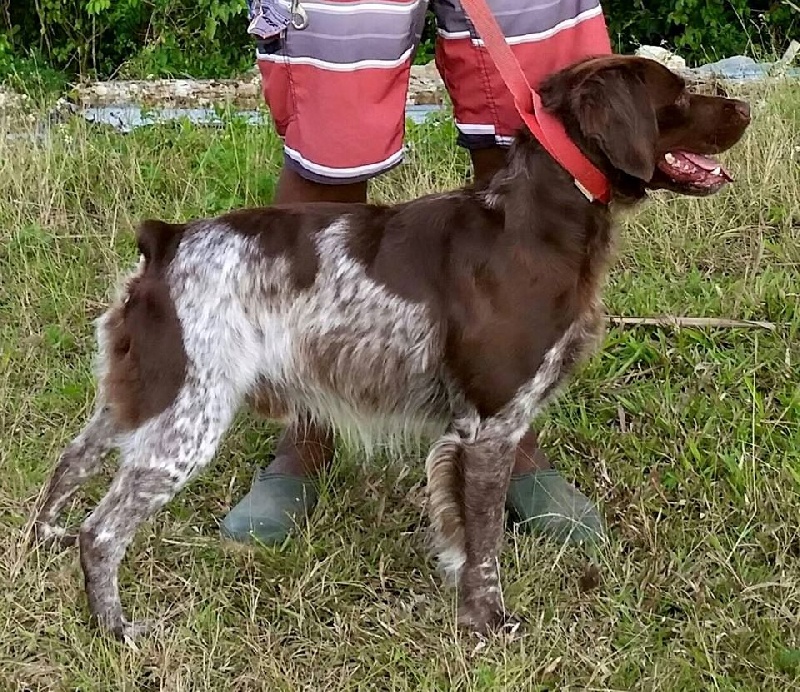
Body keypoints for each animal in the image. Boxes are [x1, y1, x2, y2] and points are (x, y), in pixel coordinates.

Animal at [32, 55, 752, 636]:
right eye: (678, 95)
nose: (746, 107)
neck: (535, 220)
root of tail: (167, 241)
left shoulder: (485, 426)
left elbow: (462, 536)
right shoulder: (489, 425)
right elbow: (485, 544)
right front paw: (490, 624)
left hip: (138, 397)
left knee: (68, 463)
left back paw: (41, 542)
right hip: (187, 420)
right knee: (103, 531)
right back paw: (116, 629)